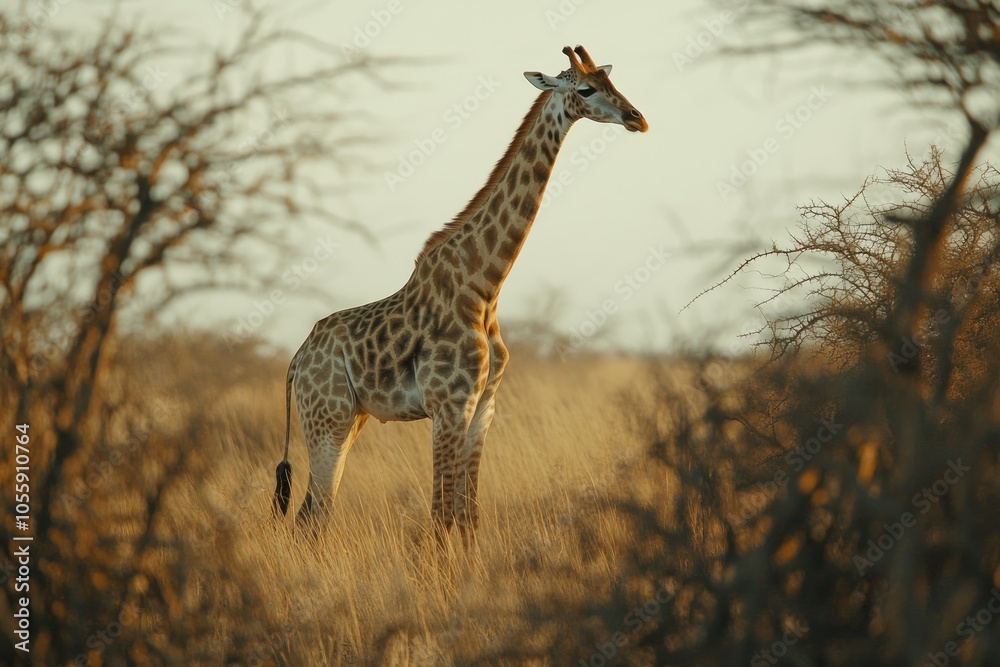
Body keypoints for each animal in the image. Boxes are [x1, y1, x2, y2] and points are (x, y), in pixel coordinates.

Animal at [273, 45, 648, 546]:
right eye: (586, 89)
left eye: (612, 82)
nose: (637, 119)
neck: (485, 285)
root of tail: (296, 360)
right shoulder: (449, 405)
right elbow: (441, 517)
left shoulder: (484, 404)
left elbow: (469, 518)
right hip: (326, 420)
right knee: (314, 513)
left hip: (352, 418)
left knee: (311, 515)